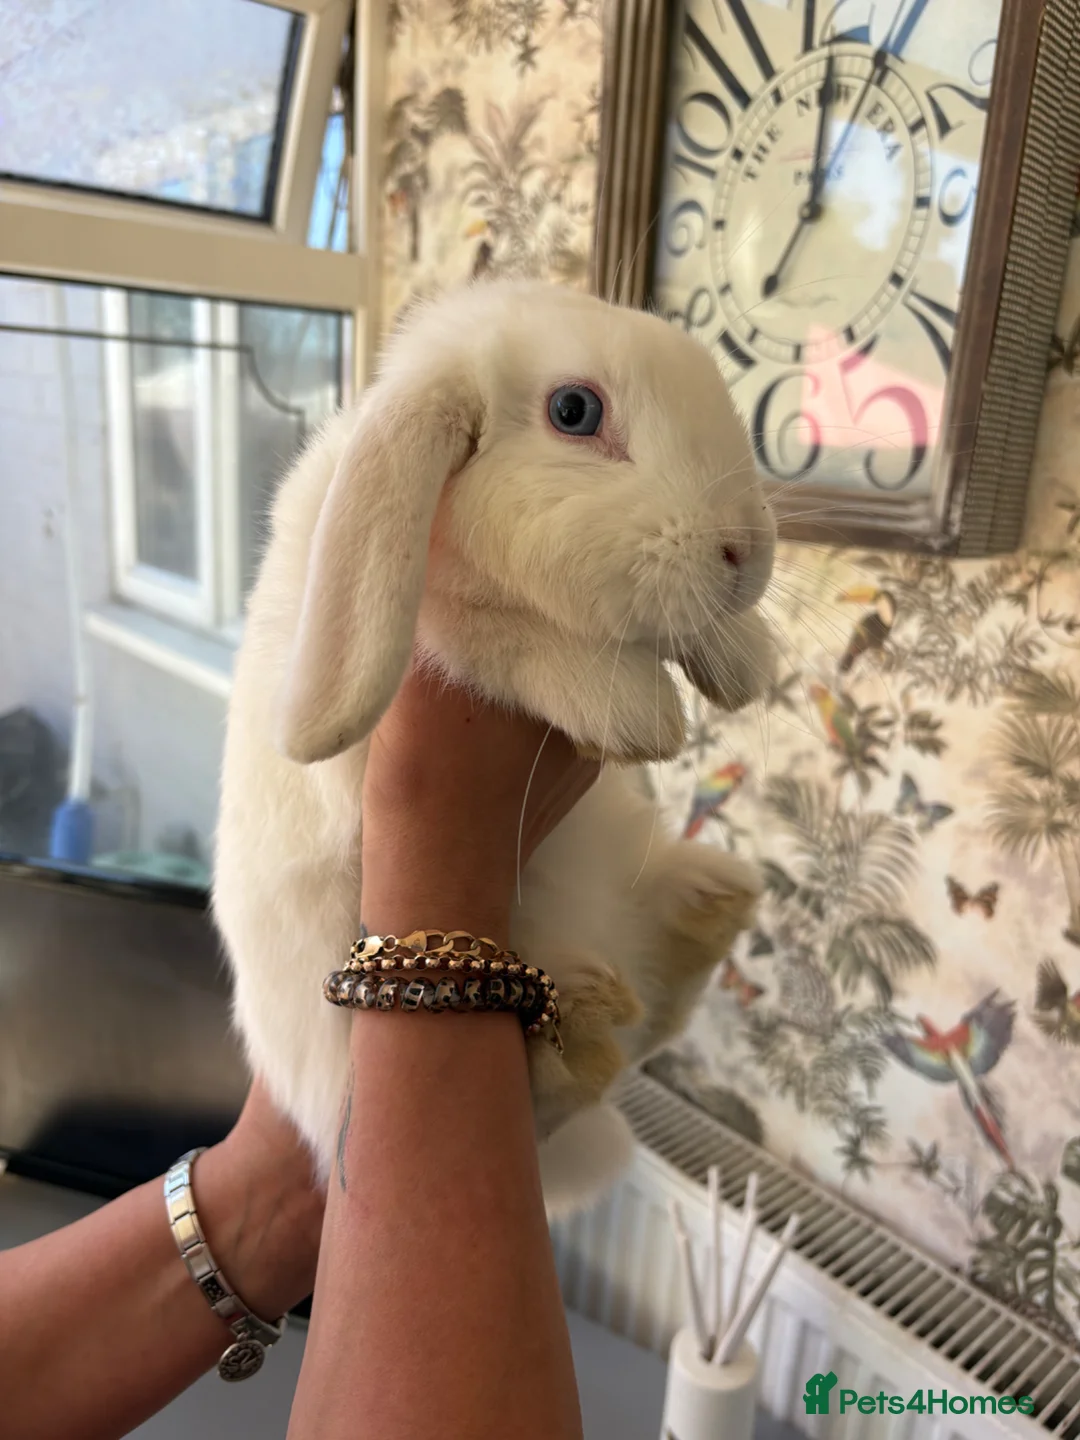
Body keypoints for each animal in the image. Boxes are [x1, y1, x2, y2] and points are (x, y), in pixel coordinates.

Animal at [213, 279, 777, 1217]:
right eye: (574, 411)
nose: (748, 552)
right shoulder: (430, 642)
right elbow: (489, 629)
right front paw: (633, 707)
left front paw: (743, 657)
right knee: (572, 1083)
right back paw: (583, 1024)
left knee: (658, 1008)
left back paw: (710, 900)